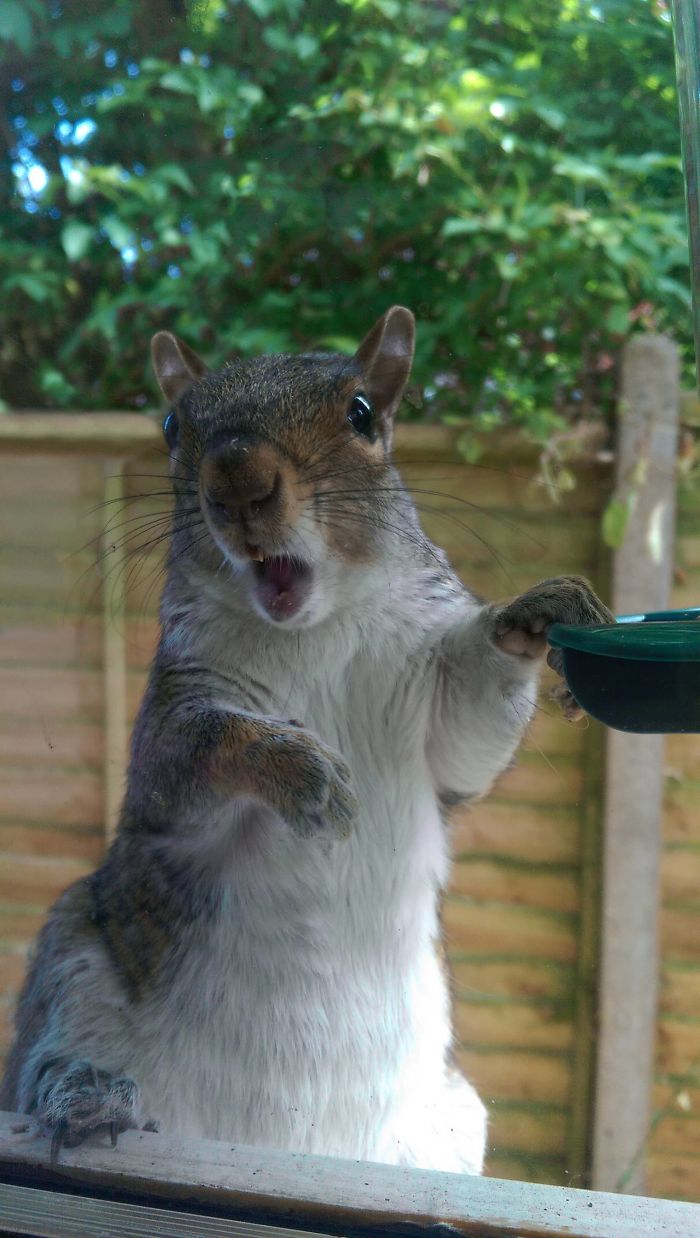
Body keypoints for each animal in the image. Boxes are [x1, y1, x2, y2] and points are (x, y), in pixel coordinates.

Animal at [0, 306, 613, 1171]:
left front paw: (536, 612)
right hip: (77, 958)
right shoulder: (176, 709)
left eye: (361, 414)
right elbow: (191, 755)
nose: (239, 483)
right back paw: (86, 1096)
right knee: (51, 1058)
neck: (311, 631)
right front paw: (298, 767)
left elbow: (468, 731)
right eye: (172, 425)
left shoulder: (435, 704)